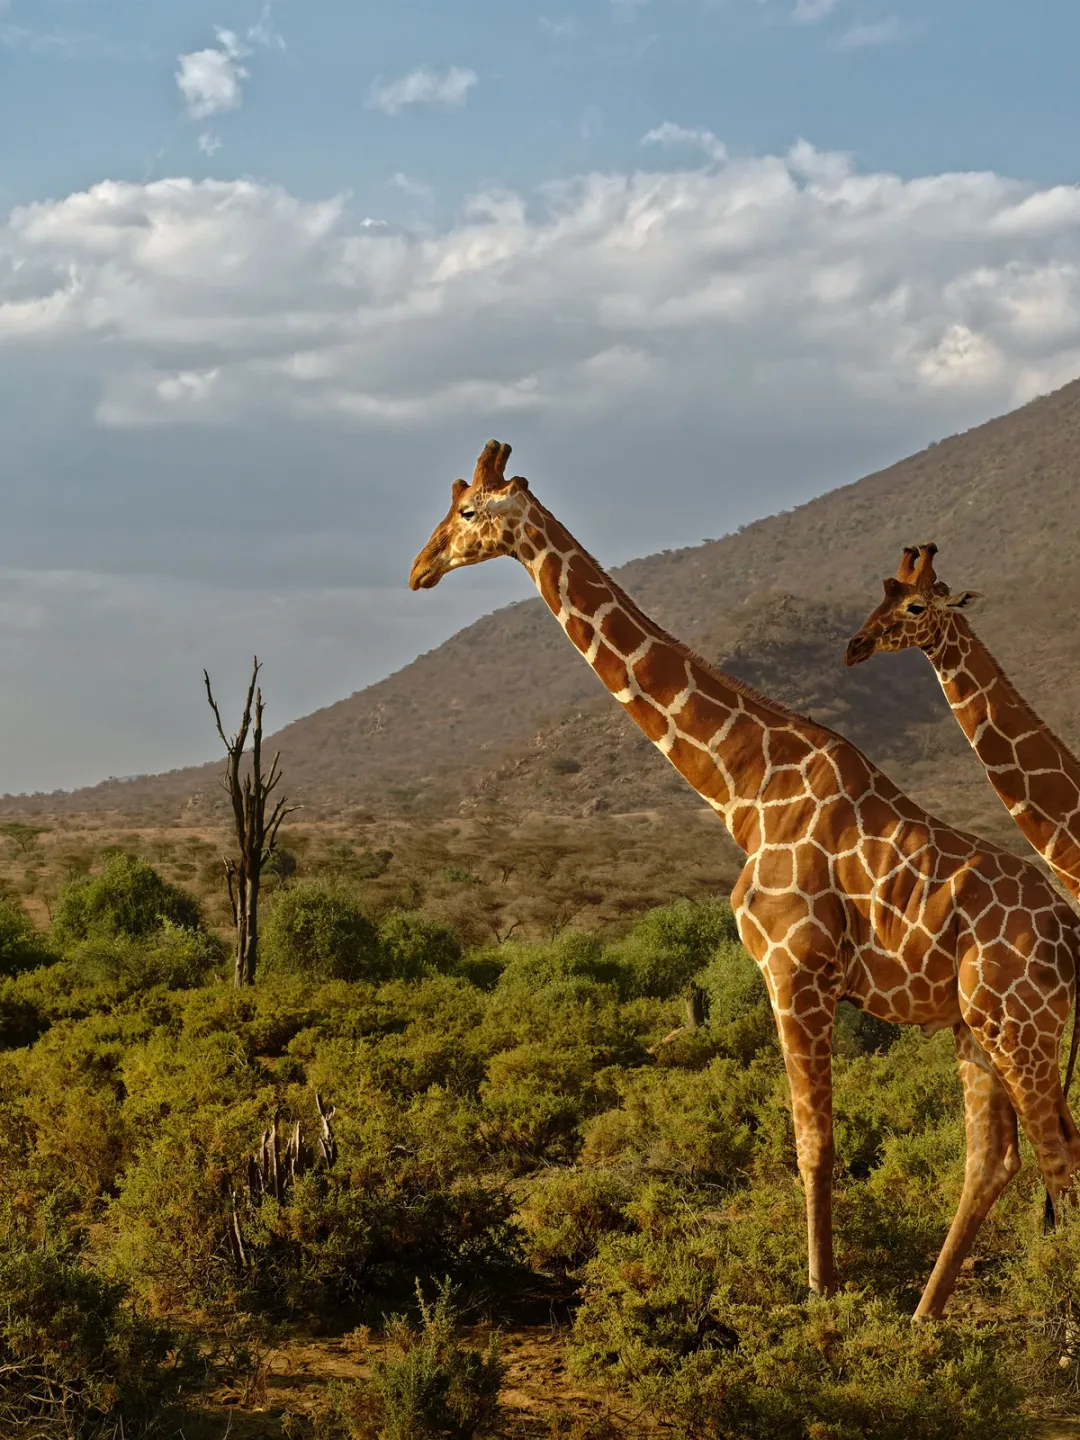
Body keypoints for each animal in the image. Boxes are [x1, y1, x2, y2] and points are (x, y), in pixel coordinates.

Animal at [409, 441, 1080, 1320]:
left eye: (467, 512)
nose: (419, 569)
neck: (743, 788)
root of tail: (1072, 936)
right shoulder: (803, 978)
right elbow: (815, 1140)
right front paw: (832, 1293)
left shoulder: (795, 971)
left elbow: (814, 1143)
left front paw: (822, 1297)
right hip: (978, 1025)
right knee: (998, 1157)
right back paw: (923, 1317)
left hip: (1022, 1026)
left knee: (1057, 1155)